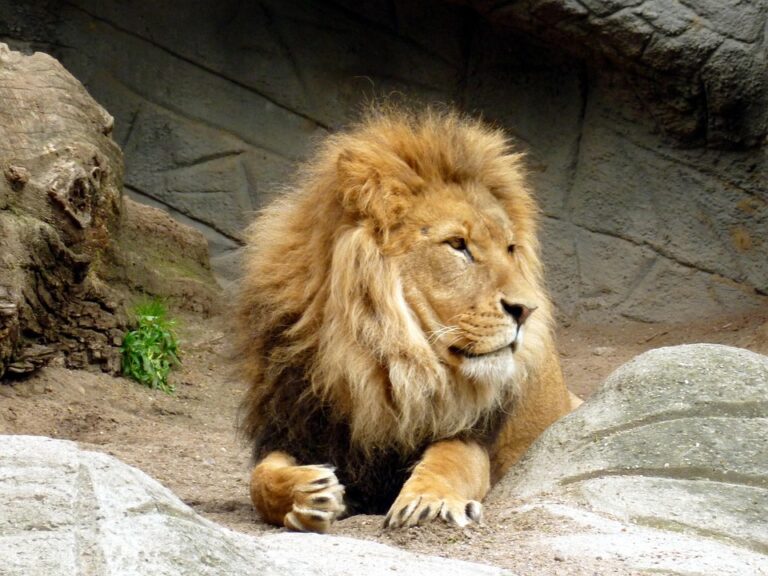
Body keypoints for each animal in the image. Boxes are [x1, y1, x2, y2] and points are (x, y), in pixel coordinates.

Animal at [235, 107, 581, 533]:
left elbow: (452, 461)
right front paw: (306, 494)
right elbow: (259, 478)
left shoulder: (472, 435)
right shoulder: (296, 425)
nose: (527, 310)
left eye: (510, 248)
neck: (383, 363)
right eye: (457, 245)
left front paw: (430, 502)